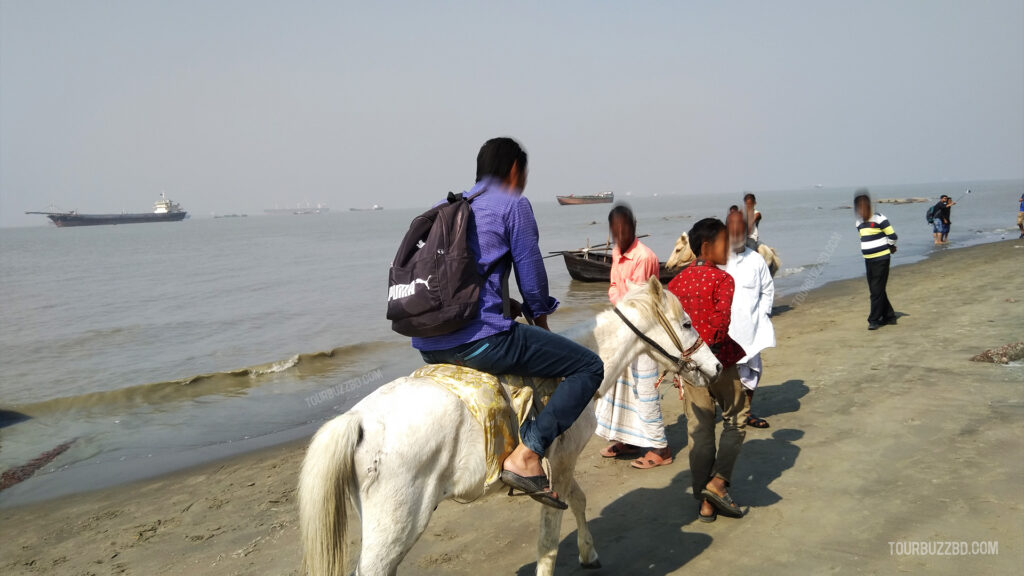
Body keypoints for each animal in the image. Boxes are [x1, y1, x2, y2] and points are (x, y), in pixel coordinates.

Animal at [296, 276, 720, 569]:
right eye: (686, 324)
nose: (715, 367)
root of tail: (357, 420)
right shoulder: (559, 467)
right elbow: (549, 540)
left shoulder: (561, 466)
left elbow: (579, 501)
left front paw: (589, 554)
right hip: (394, 529)